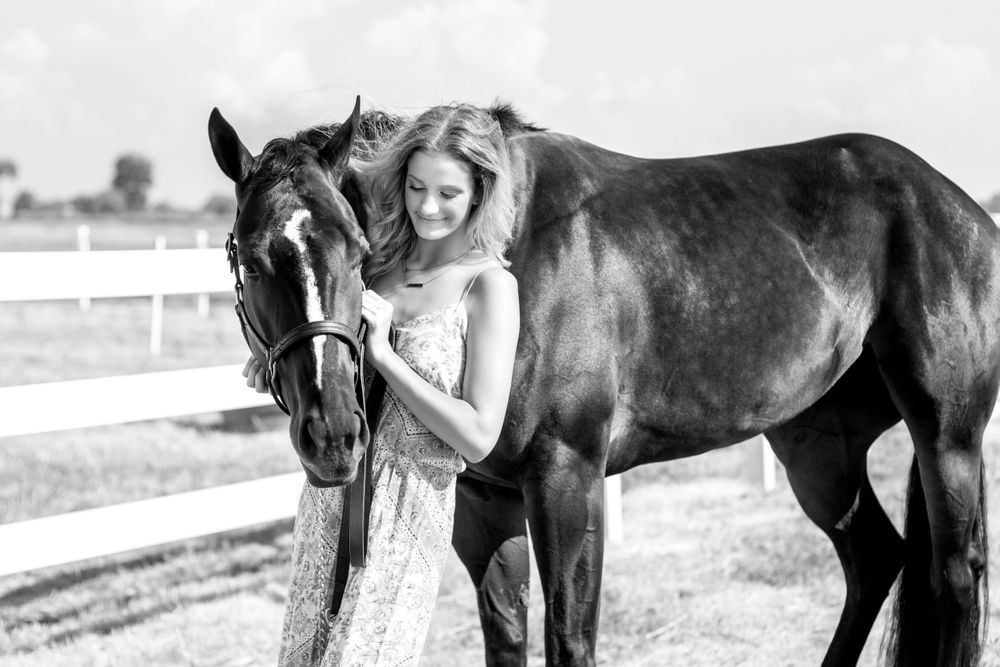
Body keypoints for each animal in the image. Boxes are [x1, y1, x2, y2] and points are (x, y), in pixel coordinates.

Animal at [208, 98, 997, 667]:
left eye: (354, 246)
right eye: (250, 256)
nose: (334, 436)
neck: (510, 248)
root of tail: (960, 207)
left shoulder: (567, 478)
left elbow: (569, 640)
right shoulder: (485, 502)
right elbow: (507, 635)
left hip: (946, 434)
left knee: (956, 574)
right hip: (815, 444)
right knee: (876, 558)